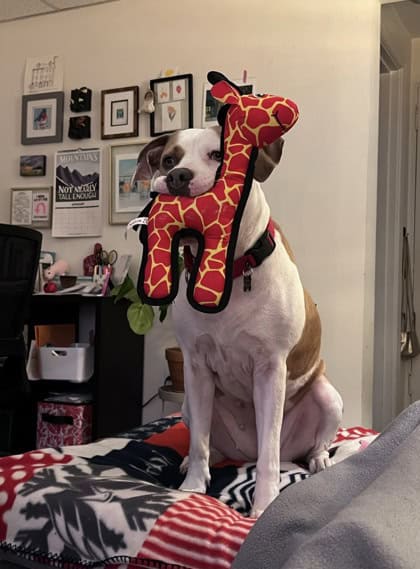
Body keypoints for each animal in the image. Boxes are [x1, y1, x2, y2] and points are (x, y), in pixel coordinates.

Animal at [133, 127, 343, 517]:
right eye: (169, 159)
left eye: (219, 155)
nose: (178, 176)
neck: (225, 272)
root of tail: (242, 454)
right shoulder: (196, 368)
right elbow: (199, 443)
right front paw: (192, 489)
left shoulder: (270, 370)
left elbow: (268, 457)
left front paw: (264, 506)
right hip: (188, 405)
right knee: (211, 444)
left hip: (326, 395)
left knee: (299, 445)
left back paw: (320, 459)